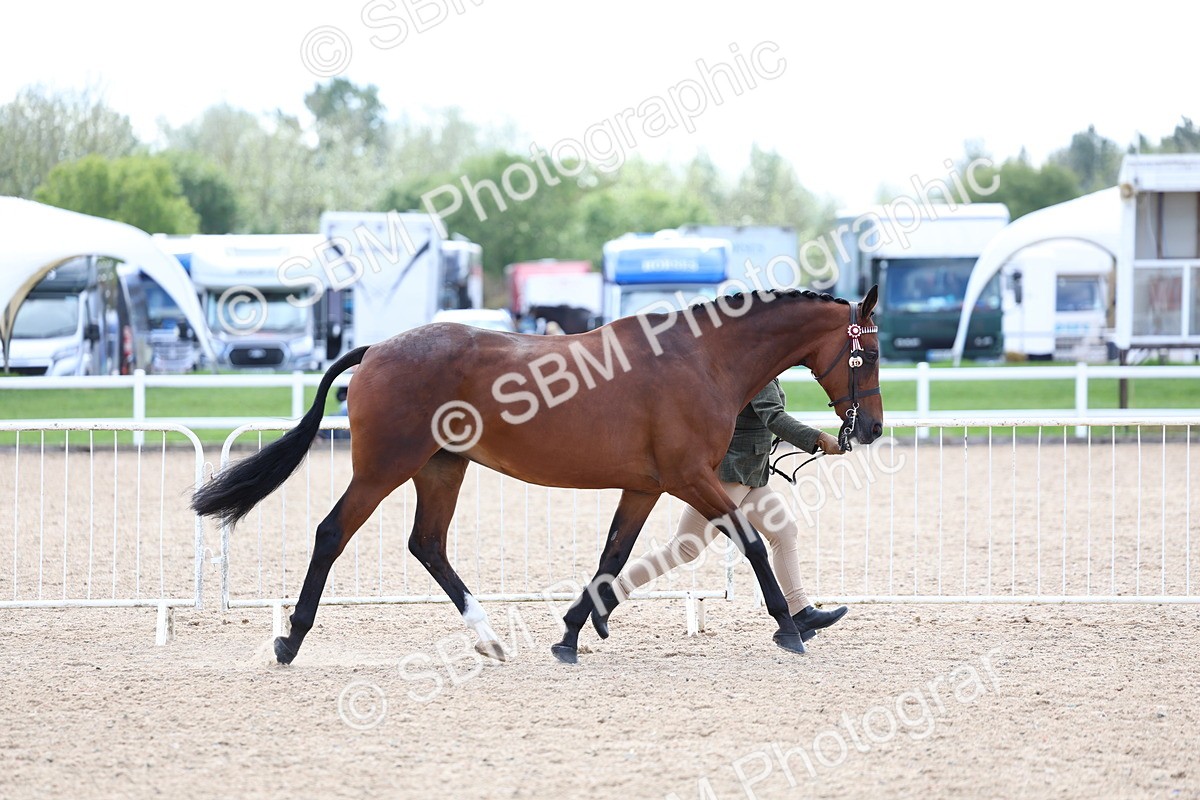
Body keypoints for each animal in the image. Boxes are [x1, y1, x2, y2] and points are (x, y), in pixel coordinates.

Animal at [191, 286, 883, 665]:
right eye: (869, 351)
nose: (871, 429)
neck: (698, 359)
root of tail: (378, 349)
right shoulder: (690, 477)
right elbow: (754, 542)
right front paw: (790, 628)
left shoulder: (646, 485)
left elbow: (614, 554)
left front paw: (575, 631)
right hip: (386, 466)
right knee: (333, 533)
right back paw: (290, 641)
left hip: (441, 468)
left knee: (428, 545)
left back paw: (490, 639)